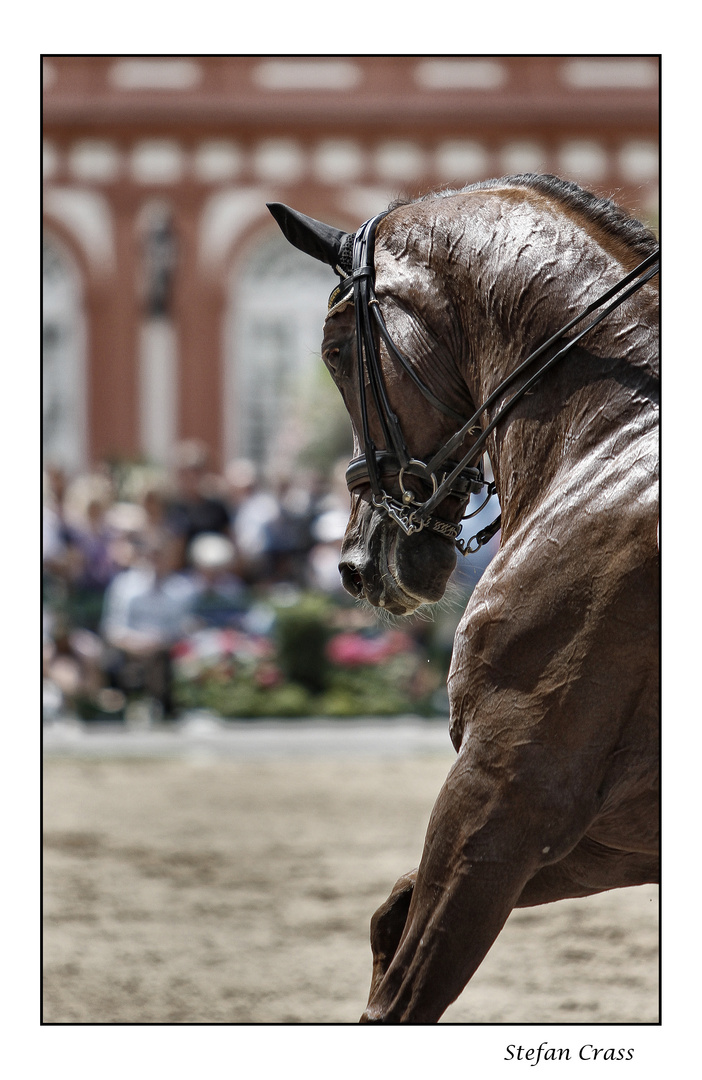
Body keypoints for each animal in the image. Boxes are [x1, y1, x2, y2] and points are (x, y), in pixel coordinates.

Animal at [267, 172, 656, 1023]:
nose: (358, 565)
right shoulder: (610, 832)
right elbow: (392, 918)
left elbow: (405, 993)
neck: (612, 440)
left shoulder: (506, 791)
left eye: (335, 351)